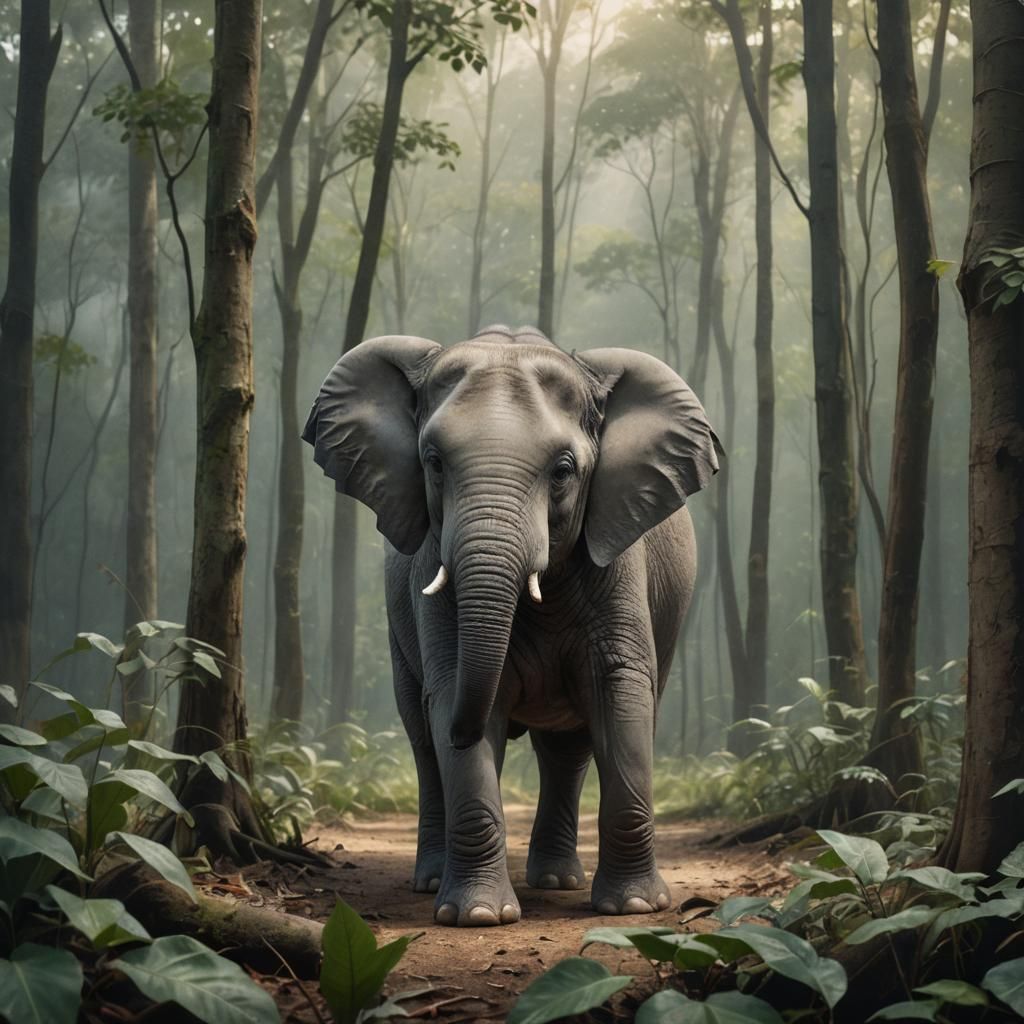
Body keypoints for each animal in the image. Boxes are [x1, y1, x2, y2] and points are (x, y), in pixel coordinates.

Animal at [303, 324, 719, 927]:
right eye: (433, 463)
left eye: (564, 471)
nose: (463, 731)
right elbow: (452, 689)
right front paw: (478, 916)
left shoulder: (618, 562)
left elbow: (621, 691)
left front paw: (634, 908)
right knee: (421, 737)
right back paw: (435, 881)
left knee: (566, 750)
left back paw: (556, 880)